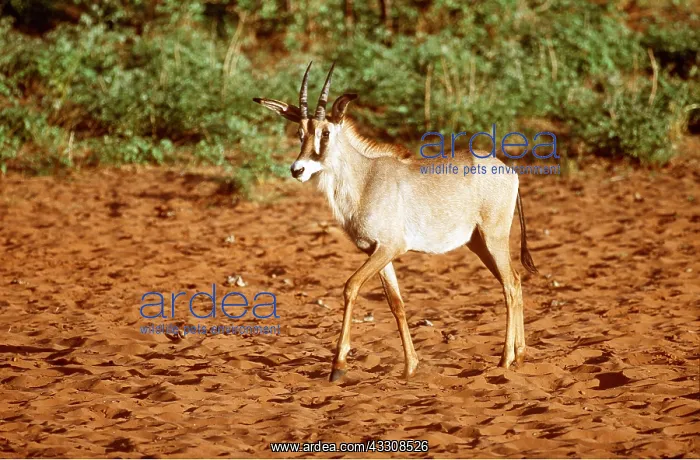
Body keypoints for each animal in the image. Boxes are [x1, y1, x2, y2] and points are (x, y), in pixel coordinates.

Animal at [254, 62, 539, 382]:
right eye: (300, 132)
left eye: (325, 132)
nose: (298, 169)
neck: (365, 179)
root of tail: (509, 171)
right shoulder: (376, 252)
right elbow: (396, 303)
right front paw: (410, 365)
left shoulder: (391, 248)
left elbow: (350, 287)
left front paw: (338, 366)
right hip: (478, 243)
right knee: (514, 281)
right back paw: (519, 355)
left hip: (493, 238)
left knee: (510, 286)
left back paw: (505, 359)